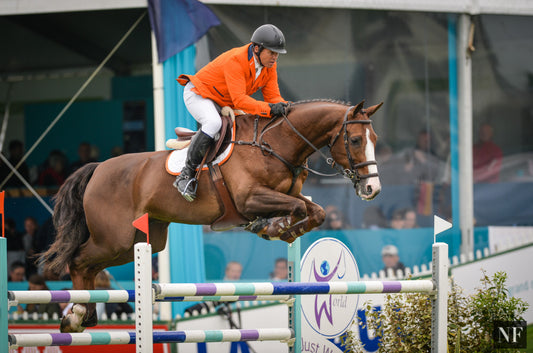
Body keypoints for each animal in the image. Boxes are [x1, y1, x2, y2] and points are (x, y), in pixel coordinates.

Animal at [41, 98, 382, 330]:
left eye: (375, 140)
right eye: (354, 140)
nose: (372, 189)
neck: (276, 143)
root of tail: (98, 168)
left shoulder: (288, 195)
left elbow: (316, 211)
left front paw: (285, 230)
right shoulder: (249, 200)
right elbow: (297, 209)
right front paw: (276, 227)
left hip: (136, 241)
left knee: (91, 267)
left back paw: (86, 315)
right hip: (115, 238)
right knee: (78, 261)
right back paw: (75, 316)